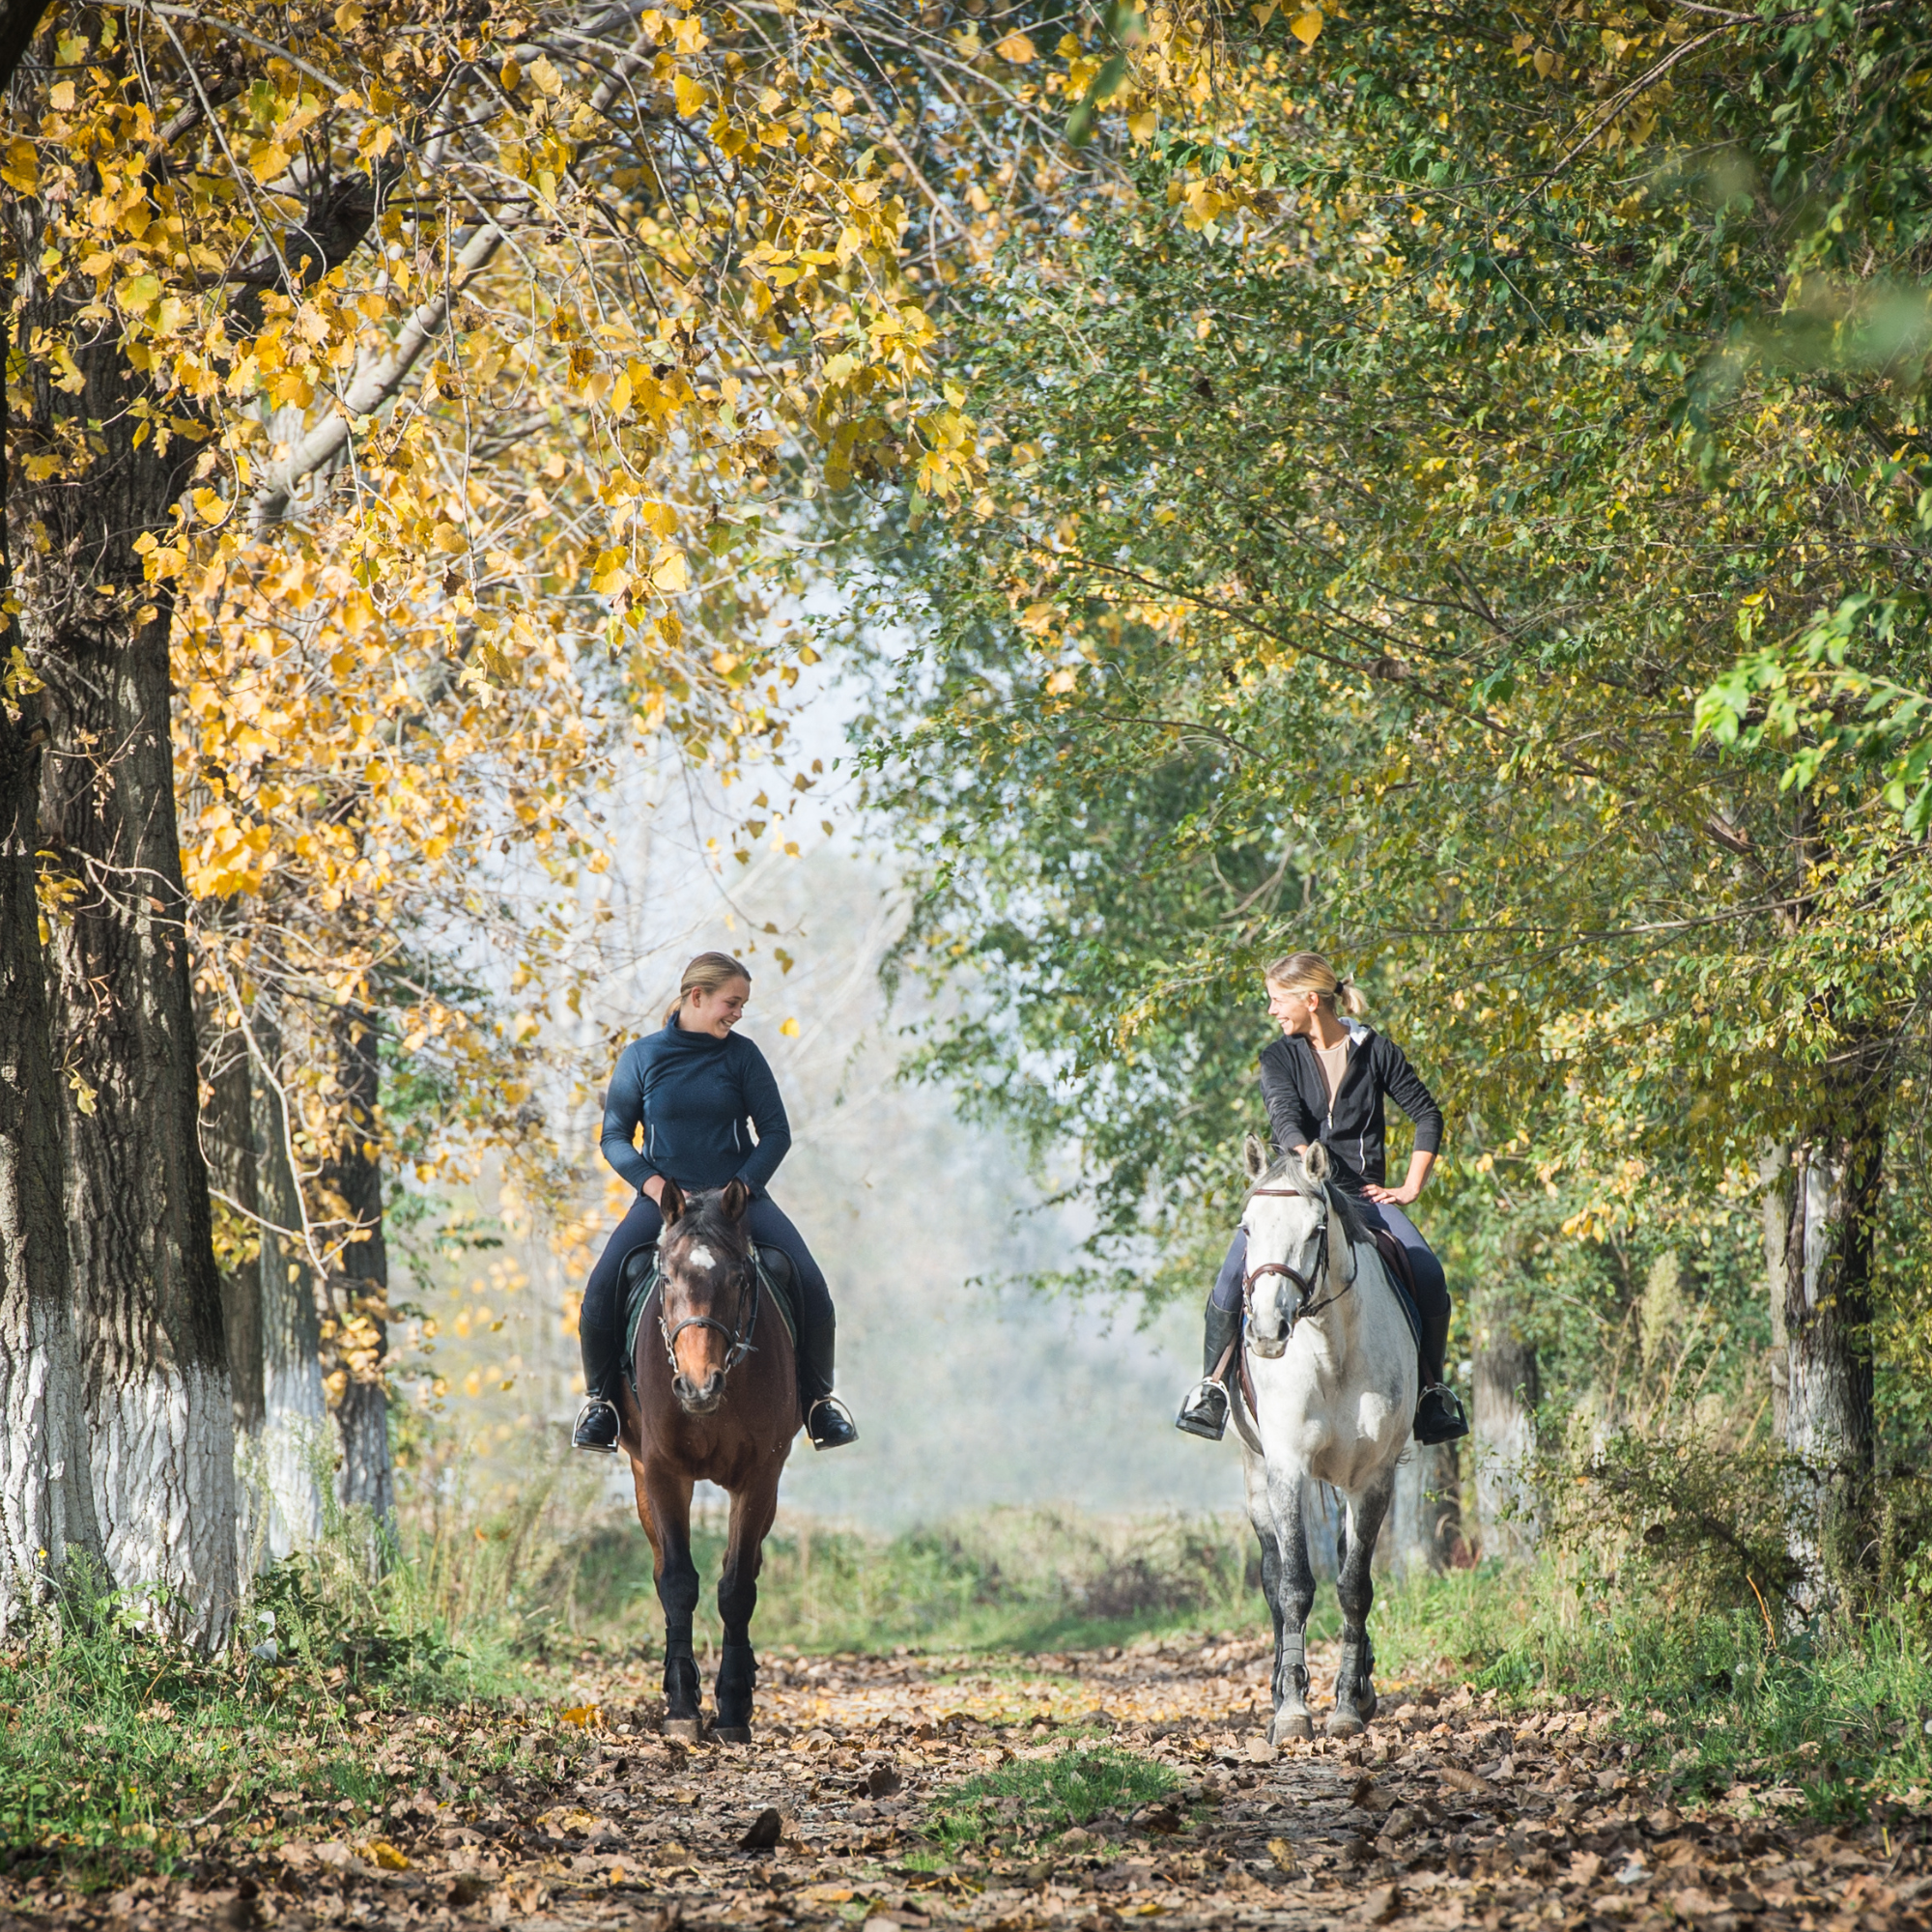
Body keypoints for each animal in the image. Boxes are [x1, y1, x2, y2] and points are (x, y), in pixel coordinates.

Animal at [614, 1176, 798, 1742]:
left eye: (739, 1278)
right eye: (666, 1278)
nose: (698, 1386)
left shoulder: (760, 1477)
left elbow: (737, 1587)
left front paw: (734, 1708)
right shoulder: (664, 1471)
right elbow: (677, 1582)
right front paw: (681, 1705)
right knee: (662, 1571)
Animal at [1233, 1136, 1418, 1741]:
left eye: (1316, 1229)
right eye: (1247, 1229)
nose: (1267, 1333)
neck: (1331, 1351)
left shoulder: (1373, 1478)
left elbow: (1353, 1585)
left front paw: (1346, 1706)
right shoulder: (1287, 1468)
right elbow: (1294, 1585)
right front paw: (1293, 1710)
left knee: (1343, 1561)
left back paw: (1359, 1686)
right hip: (1255, 1474)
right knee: (1272, 1577)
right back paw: (1278, 1689)